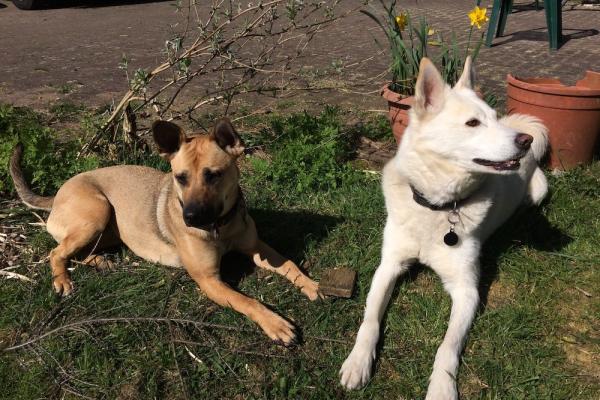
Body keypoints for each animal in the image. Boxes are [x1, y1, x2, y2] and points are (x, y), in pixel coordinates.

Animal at [9, 117, 322, 346]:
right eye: (180, 178)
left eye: (214, 175)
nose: (190, 217)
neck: (221, 227)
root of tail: (56, 195)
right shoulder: (209, 281)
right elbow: (248, 301)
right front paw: (275, 323)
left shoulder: (257, 247)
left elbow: (290, 263)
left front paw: (312, 285)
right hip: (96, 212)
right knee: (56, 252)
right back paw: (62, 280)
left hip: (105, 227)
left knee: (75, 251)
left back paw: (100, 261)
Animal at [338, 57, 548, 400]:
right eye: (473, 123)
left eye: (494, 118)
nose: (524, 141)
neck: (437, 208)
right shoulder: (388, 266)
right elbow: (369, 320)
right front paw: (358, 362)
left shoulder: (467, 290)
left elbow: (447, 346)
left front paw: (442, 387)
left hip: (539, 191)